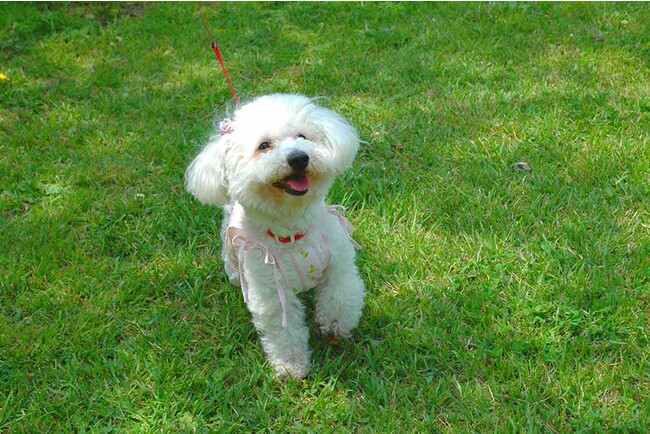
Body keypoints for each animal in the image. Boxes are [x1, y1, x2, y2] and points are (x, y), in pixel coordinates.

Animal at [185, 94, 365, 379]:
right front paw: (291, 365)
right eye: (264, 146)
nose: (299, 158)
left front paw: (335, 327)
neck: (293, 233)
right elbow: (285, 331)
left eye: (302, 136)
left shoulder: (339, 264)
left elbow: (340, 296)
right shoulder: (270, 290)